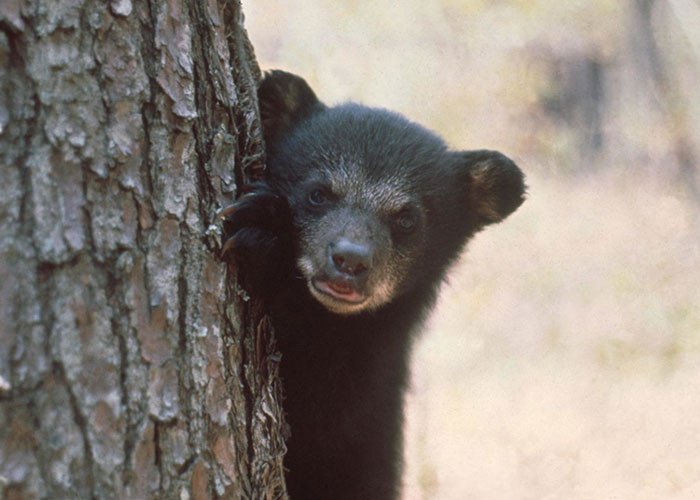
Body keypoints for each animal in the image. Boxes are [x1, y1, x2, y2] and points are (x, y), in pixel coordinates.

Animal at [219, 70, 526, 500]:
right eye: (318, 193)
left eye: (407, 219)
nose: (350, 259)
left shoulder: (368, 385)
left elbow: (319, 409)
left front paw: (264, 234)